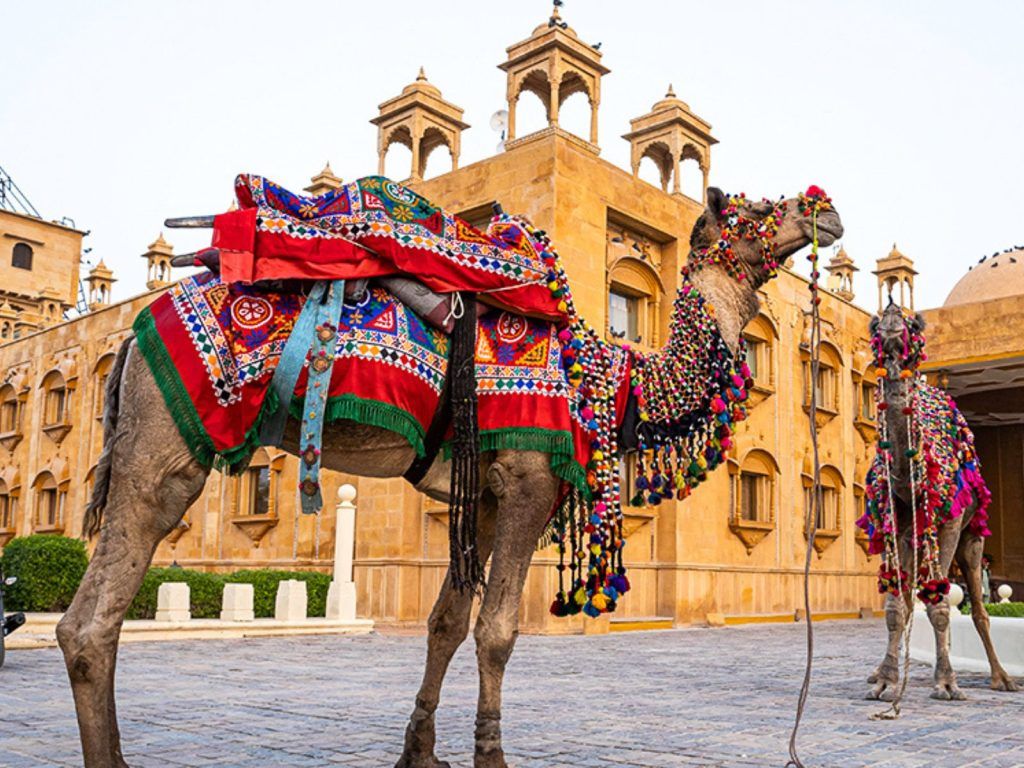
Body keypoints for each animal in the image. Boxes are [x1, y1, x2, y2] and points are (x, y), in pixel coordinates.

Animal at [56, 186, 843, 768]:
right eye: (751, 209)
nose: (824, 208)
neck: (614, 383)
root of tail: (129, 341)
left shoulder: (485, 496)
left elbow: (445, 625)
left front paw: (419, 750)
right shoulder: (529, 480)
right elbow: (497, 631)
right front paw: (491, 755)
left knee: (84, 620)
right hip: (165, 448)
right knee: (92, 622)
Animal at [864, 303, 1018, 701]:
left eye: (916, 324)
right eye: (875, 325)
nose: (892, 312)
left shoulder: (948, 522)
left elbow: (939, 605)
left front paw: (947, 682)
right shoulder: (896, 522)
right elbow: (895, 605)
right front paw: (885, 680)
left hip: (972, 533)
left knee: (978, 607)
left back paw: (1002, 678)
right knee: (910, 599)